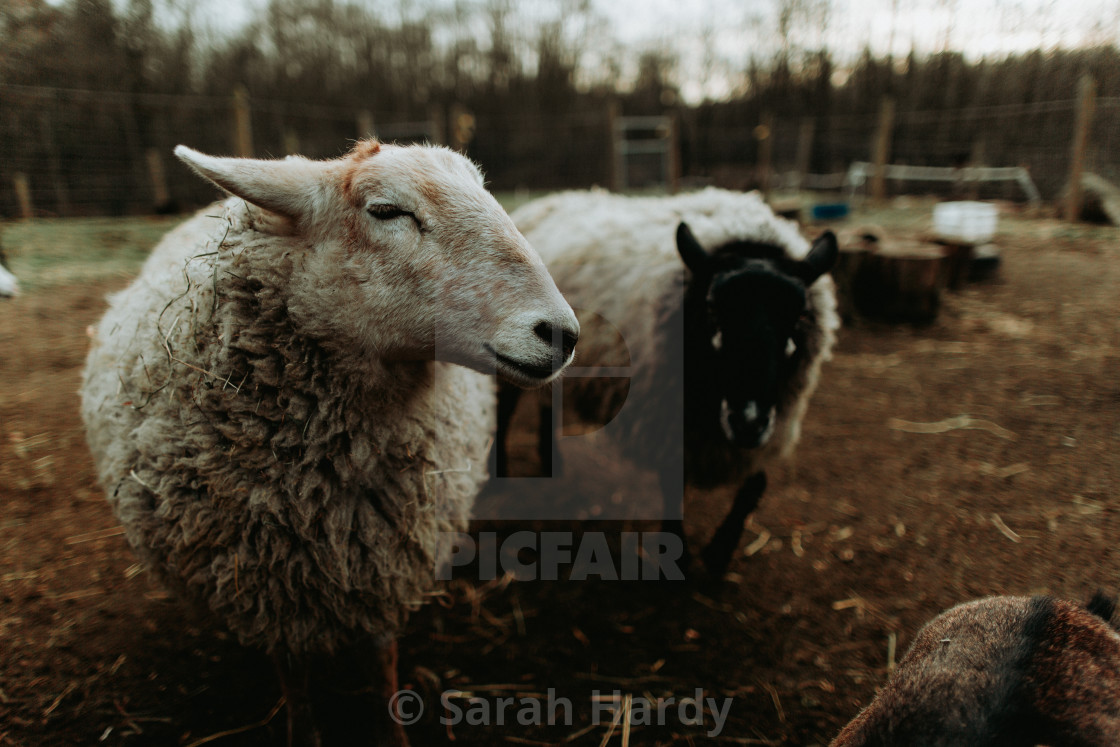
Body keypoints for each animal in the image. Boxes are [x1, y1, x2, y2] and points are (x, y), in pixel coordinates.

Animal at [81, 141, 577, 747]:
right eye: (386, 211)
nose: (562, 334)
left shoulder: (382, 564)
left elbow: (382, 662)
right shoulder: (265, 583)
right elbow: (293, 677)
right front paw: (303, 729)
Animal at [497, 187, 833, 577]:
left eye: (800, 316)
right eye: (713, 308)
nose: (747, 421)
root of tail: (547, 200)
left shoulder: (770, 425)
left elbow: (755, 486)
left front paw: (720, 553)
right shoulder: (670, 422)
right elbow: (673, 485)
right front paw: (681, 557)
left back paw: (551, 464)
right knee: (504, 412)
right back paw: (499, 476)